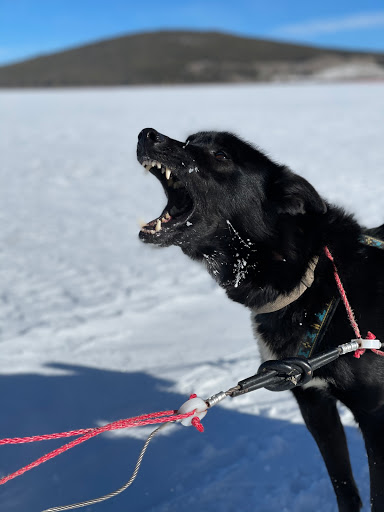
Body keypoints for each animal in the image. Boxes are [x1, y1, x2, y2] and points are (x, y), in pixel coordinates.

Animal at [136, 128, 382, 512]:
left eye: (221, 155)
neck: (313, 278)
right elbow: (345, 487)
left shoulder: (375, 416)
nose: (148, 134)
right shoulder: (314, 405)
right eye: (190, 141)